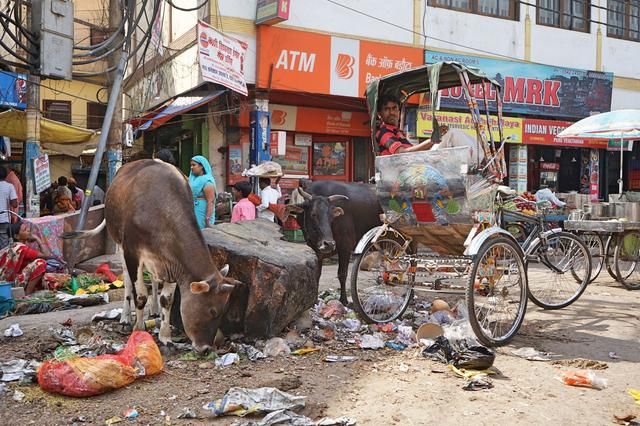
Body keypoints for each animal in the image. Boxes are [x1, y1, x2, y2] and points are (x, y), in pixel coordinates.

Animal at [68, 160, 240, 352]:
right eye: (212, 311)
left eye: (223, 311)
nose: (206, 348)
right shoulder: (133, 253)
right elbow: (141, 295)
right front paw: (138, 330)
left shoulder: (173, 263)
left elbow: (167, 299)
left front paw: (166, 338)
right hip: (120, 246)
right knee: (128, 283)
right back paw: (126, 319)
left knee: (153, 280)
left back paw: (155, 309)